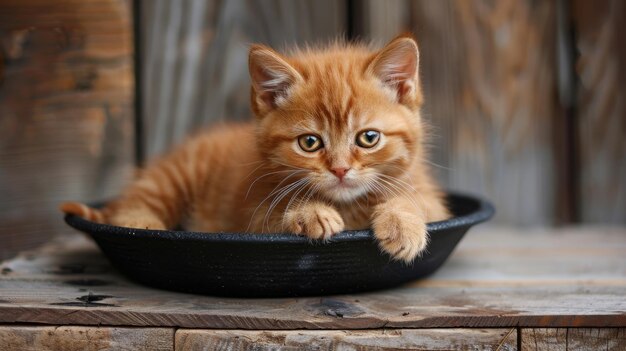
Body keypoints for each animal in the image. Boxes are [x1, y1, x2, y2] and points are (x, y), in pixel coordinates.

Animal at [62, 34, 448, 262]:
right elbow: (276, 215)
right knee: (132, 206)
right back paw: (143, 224)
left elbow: (416, 201)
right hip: (169, 179)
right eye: (310, 143)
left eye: (368, 138)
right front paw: (309, 212)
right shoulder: (253, 215)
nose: (340, 169)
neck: (348, 205)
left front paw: (402, 222)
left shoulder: (430, 198)